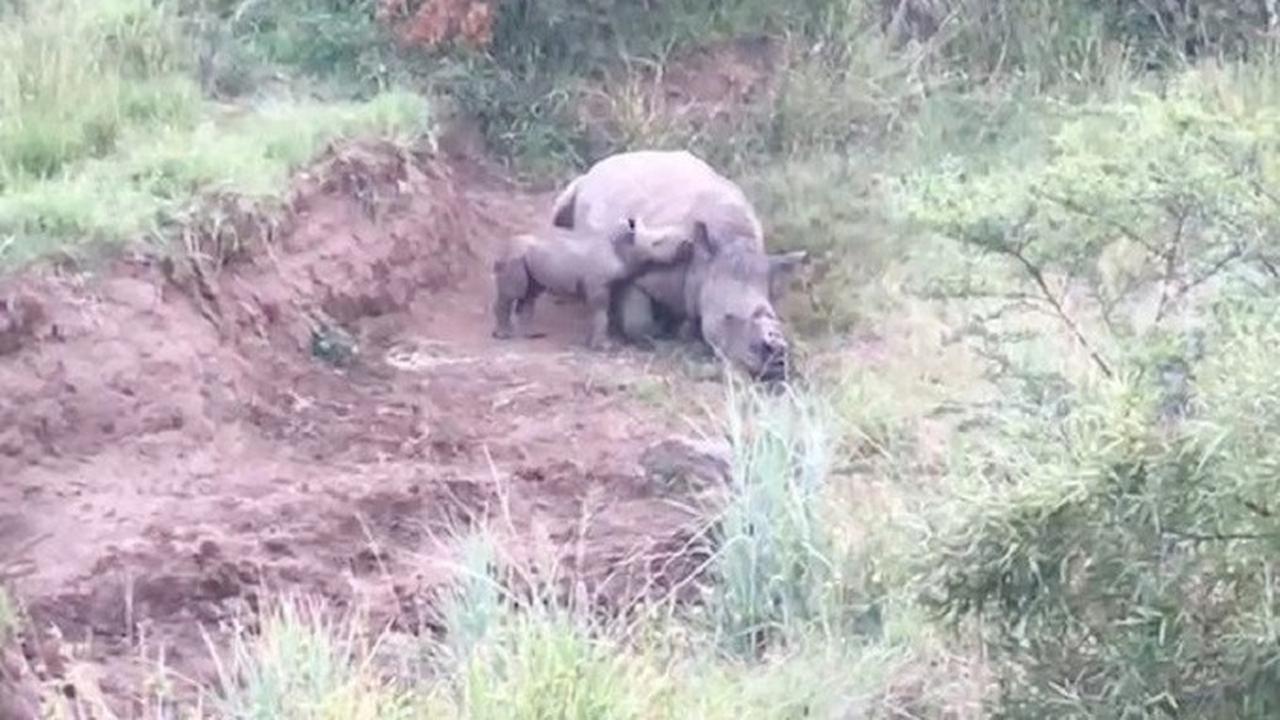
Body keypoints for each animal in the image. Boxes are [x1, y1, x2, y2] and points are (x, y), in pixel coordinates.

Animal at [491, 214, 693, 350]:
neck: (624, 247)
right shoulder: (597, 283)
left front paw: (591, 342)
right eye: (656, 243)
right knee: (514, 292)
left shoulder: (607, 282)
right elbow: (601, 310)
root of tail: (503, 246)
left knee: (531, 293)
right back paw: (503, 336)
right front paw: (603, 346)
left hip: (527, 256)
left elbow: (599, 312)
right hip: (515, 255)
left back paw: (532, 335)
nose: (688, 243)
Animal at [549, 149, 807, 382]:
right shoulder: (643, 270)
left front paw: (684, 331)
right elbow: (638, 322)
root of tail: (595, 169)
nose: (774, 362)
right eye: (728, 317)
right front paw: (660, 334)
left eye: (774, 316)